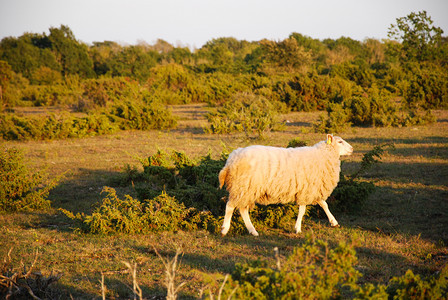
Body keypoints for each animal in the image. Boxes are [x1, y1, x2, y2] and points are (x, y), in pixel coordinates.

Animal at [219, 134, 352, 237]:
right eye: (340, 141)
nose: (352, 148)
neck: (323, 155)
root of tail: (231, 159)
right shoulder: (307, 189)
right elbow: (304, 210)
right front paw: (298, 228)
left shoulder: (310, 188)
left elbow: (323, 204)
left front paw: (334, 222)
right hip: (243, 186)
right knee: (230, 206)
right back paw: (224, 229)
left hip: (246, 189)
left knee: (242, 209)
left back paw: (253, 231)